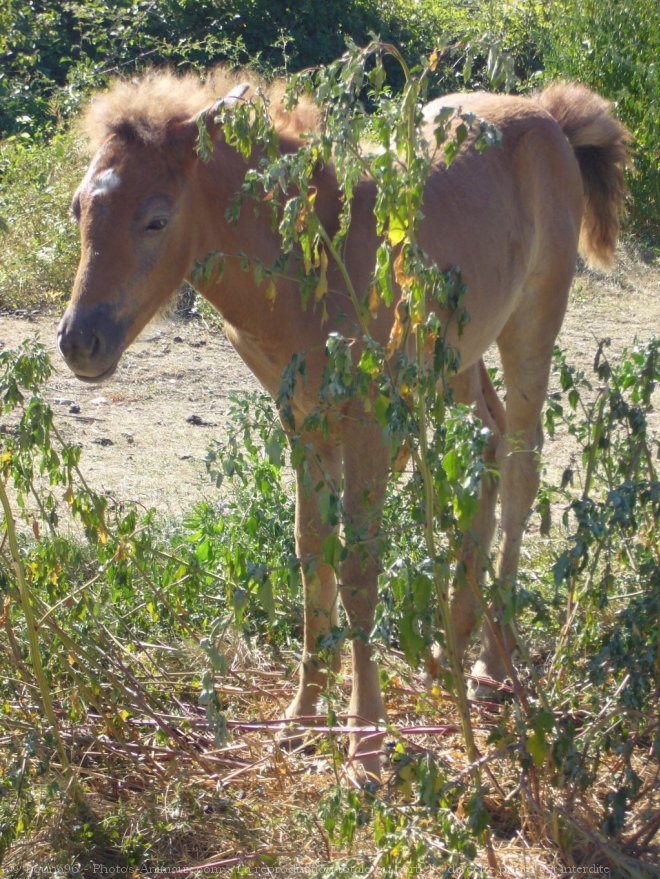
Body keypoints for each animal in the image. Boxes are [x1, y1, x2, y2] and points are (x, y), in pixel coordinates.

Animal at [58, 70, 628, 784]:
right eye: (78, 209)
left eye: (156, 219)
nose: (80, 342)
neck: (310, 256)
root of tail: (546, 114)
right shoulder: (302, 418)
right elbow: (311, 556)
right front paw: (303, 715)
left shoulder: (368, 420)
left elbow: (358, 570)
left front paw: (367, 740)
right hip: (454, 360)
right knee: (488, 440)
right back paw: (455, 631)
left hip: (532, 323)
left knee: (522, 466)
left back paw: (490, 663)